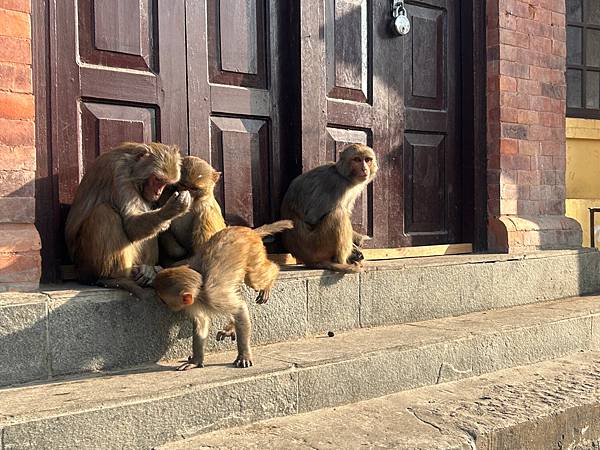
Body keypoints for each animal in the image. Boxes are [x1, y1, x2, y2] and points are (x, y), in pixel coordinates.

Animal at [63, 142, 190, 300]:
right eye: (157, 180)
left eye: (165, 183)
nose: (158, 193)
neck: (132, 167)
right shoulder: (119, 174)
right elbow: (130, 225)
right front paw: (171, 209)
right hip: (85, 264)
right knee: (104, 212)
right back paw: (114, 277)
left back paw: (147, 271)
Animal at [154, 220, 294, 370]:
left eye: (163, 300)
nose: (162, 304)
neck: (201, 289)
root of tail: (249, 231)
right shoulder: (193, 302)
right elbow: (201, 321)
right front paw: (195, 361)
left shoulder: (214, 297)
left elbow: (240, 309)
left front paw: (244, 355)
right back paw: (231, 327)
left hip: (254, 251)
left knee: (254, 279)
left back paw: (271, 278)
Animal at [280, 143, 376, 274]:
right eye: (357, 160)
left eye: (367, 160)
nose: (364, 169)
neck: (343, 175)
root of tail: (307, 259)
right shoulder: (336, 185)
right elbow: (312, 218)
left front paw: (357, 239)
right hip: (316, 246)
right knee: (339, 215)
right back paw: (341, 263)